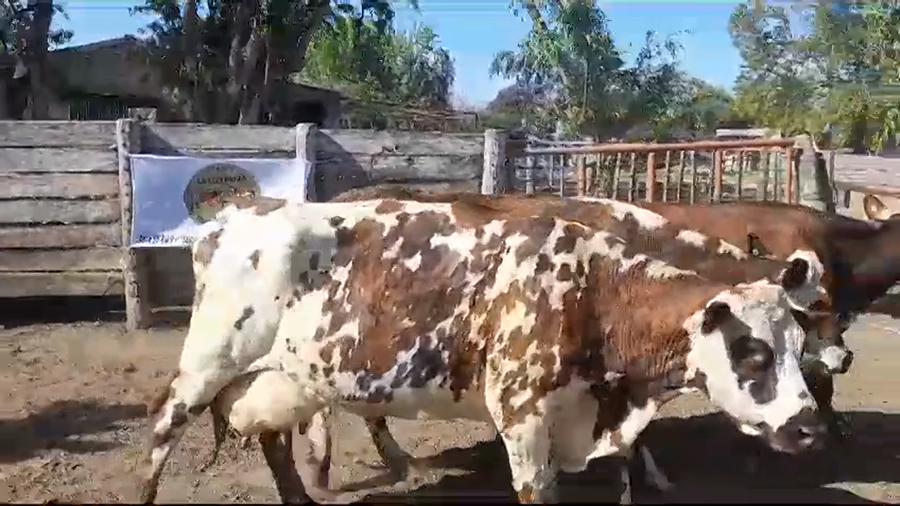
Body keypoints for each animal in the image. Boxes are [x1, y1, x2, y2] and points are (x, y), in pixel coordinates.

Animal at [140, 197, 830, 504]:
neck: (590, 287)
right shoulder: (521, 417)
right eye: (752, 353)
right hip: (207, 365)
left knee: (275, 442)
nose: (808, 426)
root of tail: (242, 212)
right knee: (160, 435)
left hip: (283, 376)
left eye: (796, 338)